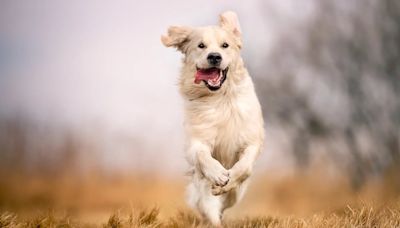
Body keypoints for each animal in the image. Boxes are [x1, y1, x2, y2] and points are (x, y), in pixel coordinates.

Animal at [161, 11, 264, 226]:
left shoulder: (252, 139)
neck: (220, 98)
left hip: (237, 195)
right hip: (201, 189)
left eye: (225, 45)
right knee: (209, 209)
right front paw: (218, 174)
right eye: (201, 45)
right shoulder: (197, 140)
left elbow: (244, 167)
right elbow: (202, 156)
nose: (215, 57)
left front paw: (228, 179)